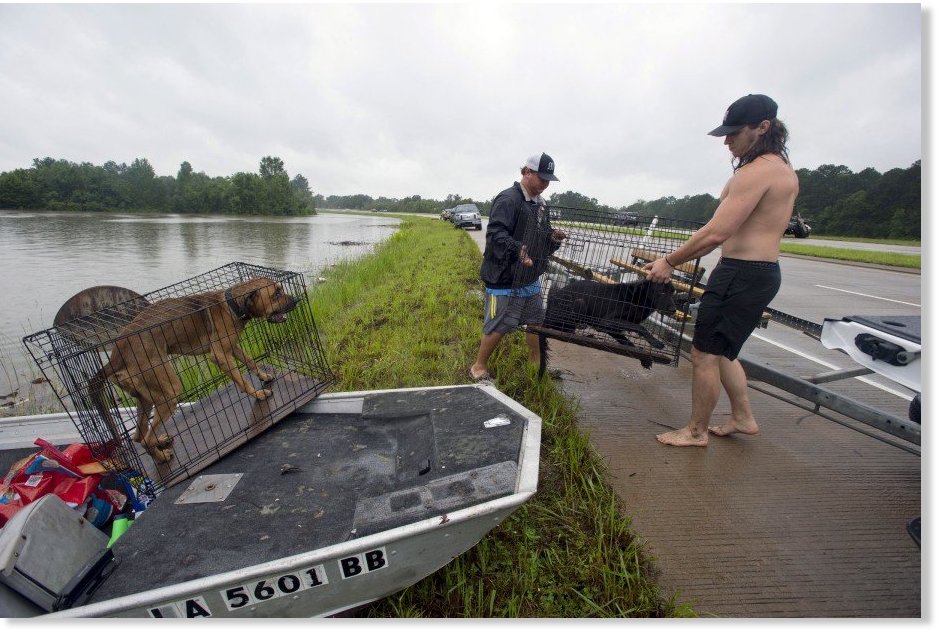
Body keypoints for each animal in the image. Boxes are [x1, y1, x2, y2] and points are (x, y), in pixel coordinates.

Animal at [88, 276, 296, 464]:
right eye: (276, 294)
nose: (297, 300)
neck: (231, 305)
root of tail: (115, 358)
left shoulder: (231, 348)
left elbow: (250, 362)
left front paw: (263, 376)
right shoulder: (220, 355)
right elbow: (241, 380)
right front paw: (258, 394)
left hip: (145, 398)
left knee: (139, 436)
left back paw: (160, 442)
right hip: (169, 390)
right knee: (146, 438)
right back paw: (162, 457)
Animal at [536, 280, 676, 376]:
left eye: (673, 292)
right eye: (662, 291)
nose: (674, 310)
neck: (638, 298)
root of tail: (547, 314)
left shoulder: (612, 329)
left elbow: (627, 343)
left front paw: (643, 359)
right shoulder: (606, 322)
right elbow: (639, 327)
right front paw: (656, 342)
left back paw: (589, 335)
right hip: (579, 302)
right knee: (565, 329)